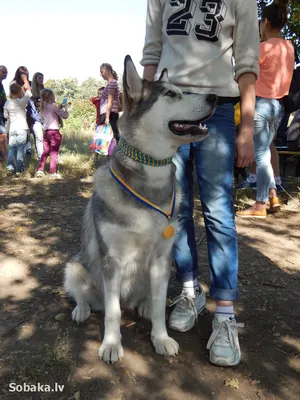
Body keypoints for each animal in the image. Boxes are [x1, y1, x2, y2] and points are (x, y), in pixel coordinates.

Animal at [64, 54, 217, 364]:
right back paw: (82, 309)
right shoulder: (112, 261)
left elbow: (159, 307)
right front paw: (111, 344)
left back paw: (143, 305)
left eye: (183, 90)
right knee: (89, 297)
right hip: (75, 267)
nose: (215, 97)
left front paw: (160, 338)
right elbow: (112, 312)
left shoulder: (160, 259)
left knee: (145, 299)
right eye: (170, 94)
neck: (150, 177)